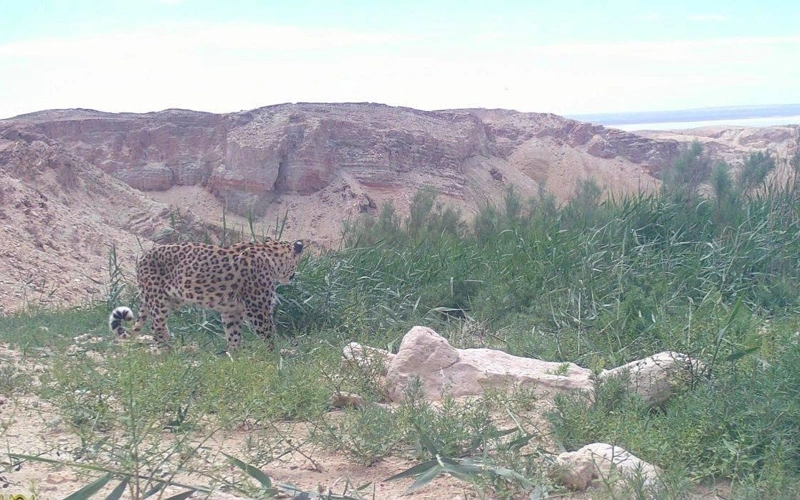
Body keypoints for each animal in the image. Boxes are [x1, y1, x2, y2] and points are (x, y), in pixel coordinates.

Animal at [109, 238, 305, 351]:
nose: (294, 275)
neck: (272, 256)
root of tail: (142, 256)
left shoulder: (231, 311)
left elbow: (233, 333)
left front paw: (235, 357)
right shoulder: (258, 309)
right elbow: (268, 334)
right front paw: (274, 356)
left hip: (171, 299)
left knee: (159, 327)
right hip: (158, 300)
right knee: (156, 328)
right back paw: (164, 353)